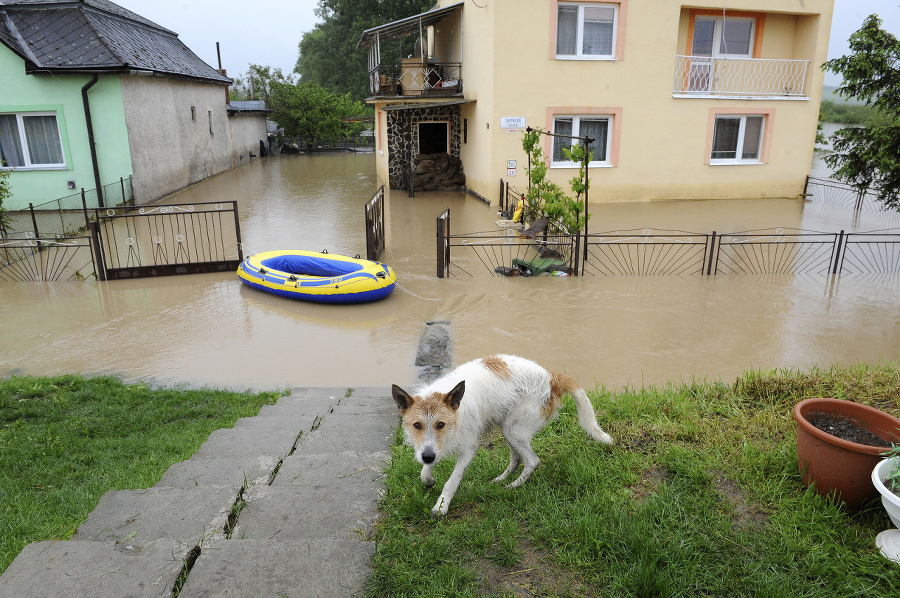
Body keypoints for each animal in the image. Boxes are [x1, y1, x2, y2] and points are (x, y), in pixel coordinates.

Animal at [390, 354, 616, 516]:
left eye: (441, 424)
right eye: (416, 425)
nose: (428, 456)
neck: (456, 414)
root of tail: (551, 376)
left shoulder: (468, 449)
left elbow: (451, 481)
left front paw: (441, 507)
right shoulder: (430, 447)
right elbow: (425, 470)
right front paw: (429, 480)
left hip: (513, 429)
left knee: (532, 461)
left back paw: (513, 485)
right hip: (507, 428)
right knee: (516, 458)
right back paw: (501, 479)